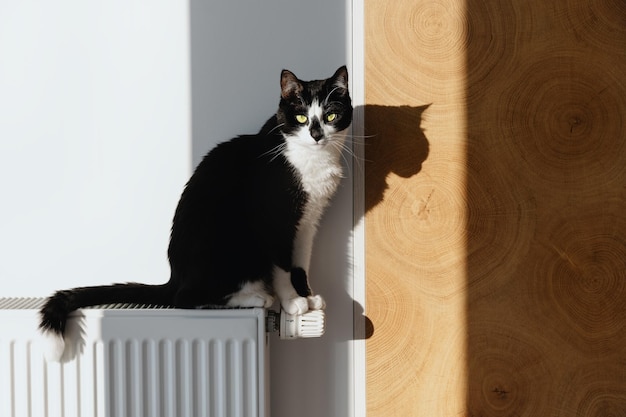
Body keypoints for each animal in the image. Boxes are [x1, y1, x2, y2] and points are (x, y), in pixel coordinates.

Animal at [37, 66, 352, 358]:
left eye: (330, 117)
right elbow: (284, 267)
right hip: (230, 248)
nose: (316, 135)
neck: (309, 159)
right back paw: (254, 297)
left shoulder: (308, 221)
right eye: (301, 118)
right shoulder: (276, 221)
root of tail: (175, 276)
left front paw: (308, 297)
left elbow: (301, 263)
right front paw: (292, 301)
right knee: (186, 298)